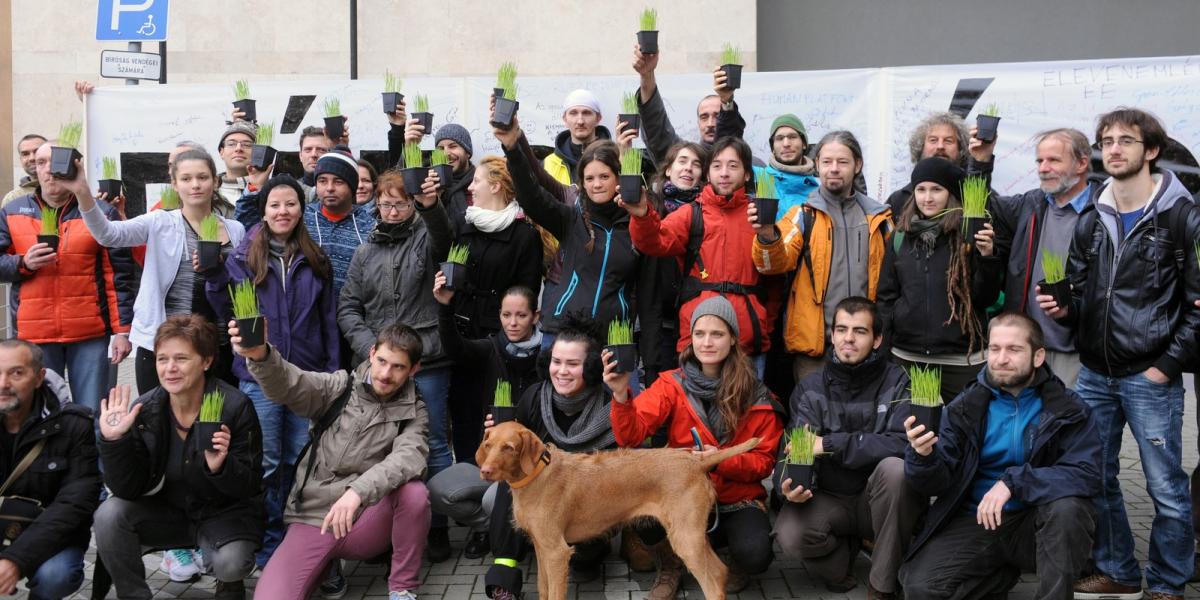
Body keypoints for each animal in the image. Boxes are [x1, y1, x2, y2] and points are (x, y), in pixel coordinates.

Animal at [475, 420, 758, 597]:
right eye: (488, 445)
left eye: (509, 448)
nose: (485, 471)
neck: (536, 475)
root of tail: (696, 460)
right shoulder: (542, 547)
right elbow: (543, 589)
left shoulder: (557, 552)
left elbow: (554, 593)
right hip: (693, 535)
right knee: (720, 571)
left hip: (686, 538)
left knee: (712, 581)